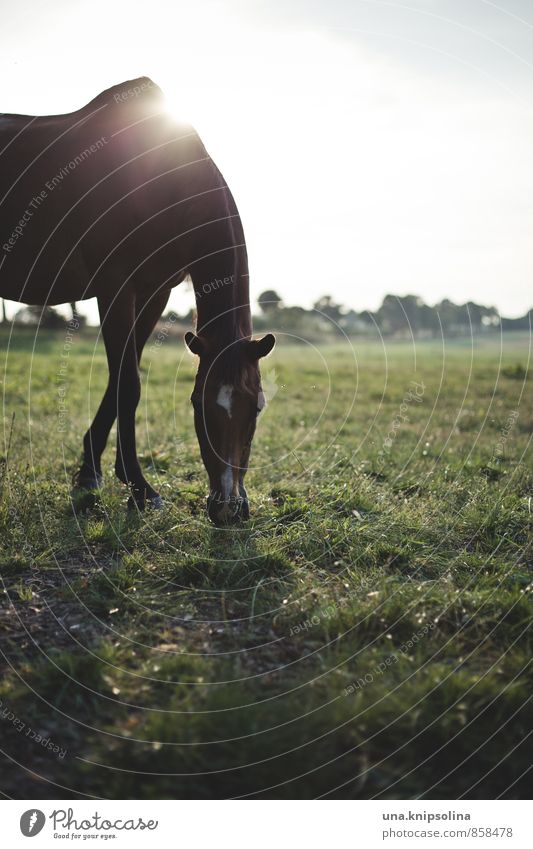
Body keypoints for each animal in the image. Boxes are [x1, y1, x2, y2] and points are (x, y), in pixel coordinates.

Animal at [0, 76, 274, 524]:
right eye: (196, 404)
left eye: (257, 408)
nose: (227, 509)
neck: (161, 182)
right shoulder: (115, 287)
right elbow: (128, 384)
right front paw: (141, 489)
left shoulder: (154, 291)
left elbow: (118, 381)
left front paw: (90, 472)